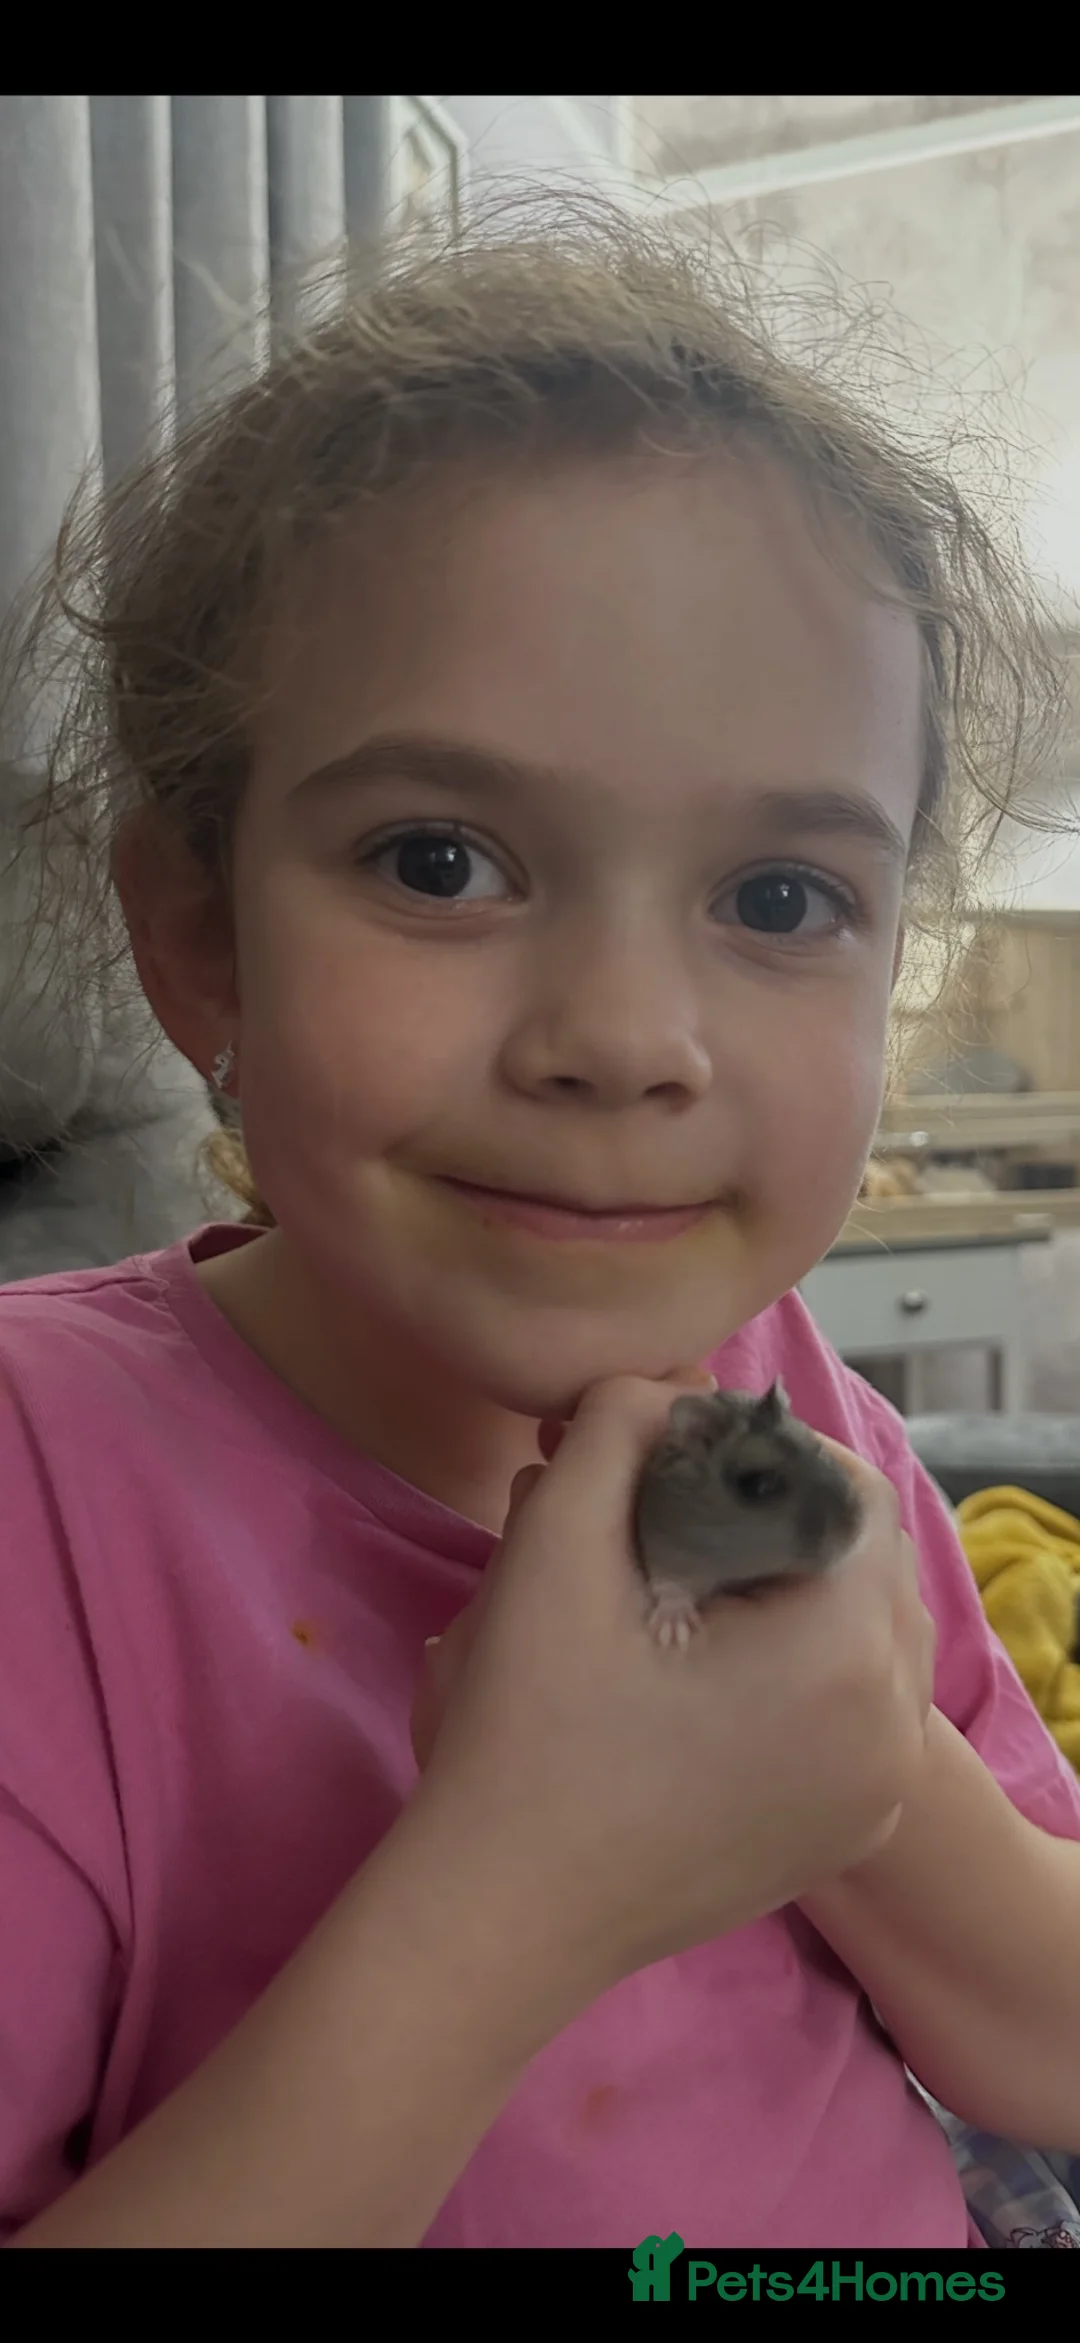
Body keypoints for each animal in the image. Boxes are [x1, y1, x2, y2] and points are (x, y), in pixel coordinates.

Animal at [632, 1381, 864, 1648]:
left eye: (819, 1448)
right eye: (758, 1485)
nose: (855, 1531)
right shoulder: (664, 1540)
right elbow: (669, 1583)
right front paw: (673, 1631)